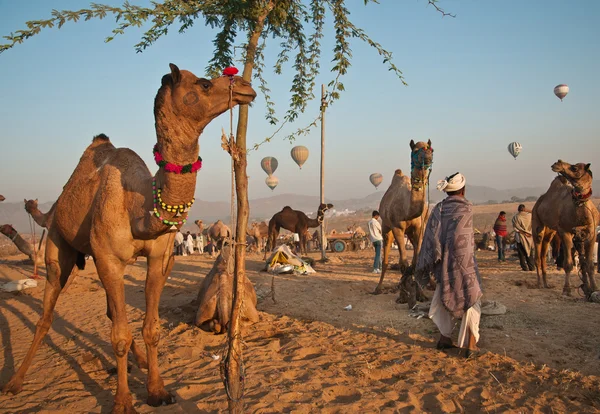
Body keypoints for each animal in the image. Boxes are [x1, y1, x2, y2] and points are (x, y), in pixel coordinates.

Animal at [1, 64, 256, 414]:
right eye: (204, 84)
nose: (245, 86)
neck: (141, 209)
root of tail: (53, 210)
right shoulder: (108, 257)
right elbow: (118, 335)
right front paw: (123, 402)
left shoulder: (160, 257)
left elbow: (151, 328)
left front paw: (158, 391)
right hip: (57, 246)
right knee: (46, 315)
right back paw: (14, 382)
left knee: (110, 312)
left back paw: (141, 362)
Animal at [372, 139, 434, 300]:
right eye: (415, 150)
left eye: (430, 148)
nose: (428, 155)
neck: (408, 210)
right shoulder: (397, 227)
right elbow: (404, 263)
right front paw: (403, 296)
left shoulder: (418, 229)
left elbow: (416, 262)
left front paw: (421, 295)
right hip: (387, 229)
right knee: (386, 260)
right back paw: (378, 288)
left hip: (411, 233)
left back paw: (430, 284)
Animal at [532, 159, 596, 298]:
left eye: (575, 168)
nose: (557, 163)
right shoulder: (564, 231)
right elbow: (568, 264)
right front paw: (567, 290)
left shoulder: (591, 234)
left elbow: (589, 265)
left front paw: (594, 289)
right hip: (537, 223)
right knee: (537, 254)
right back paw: (538, 284)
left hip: (550, 232)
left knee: (544, 254)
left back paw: (546, 284)